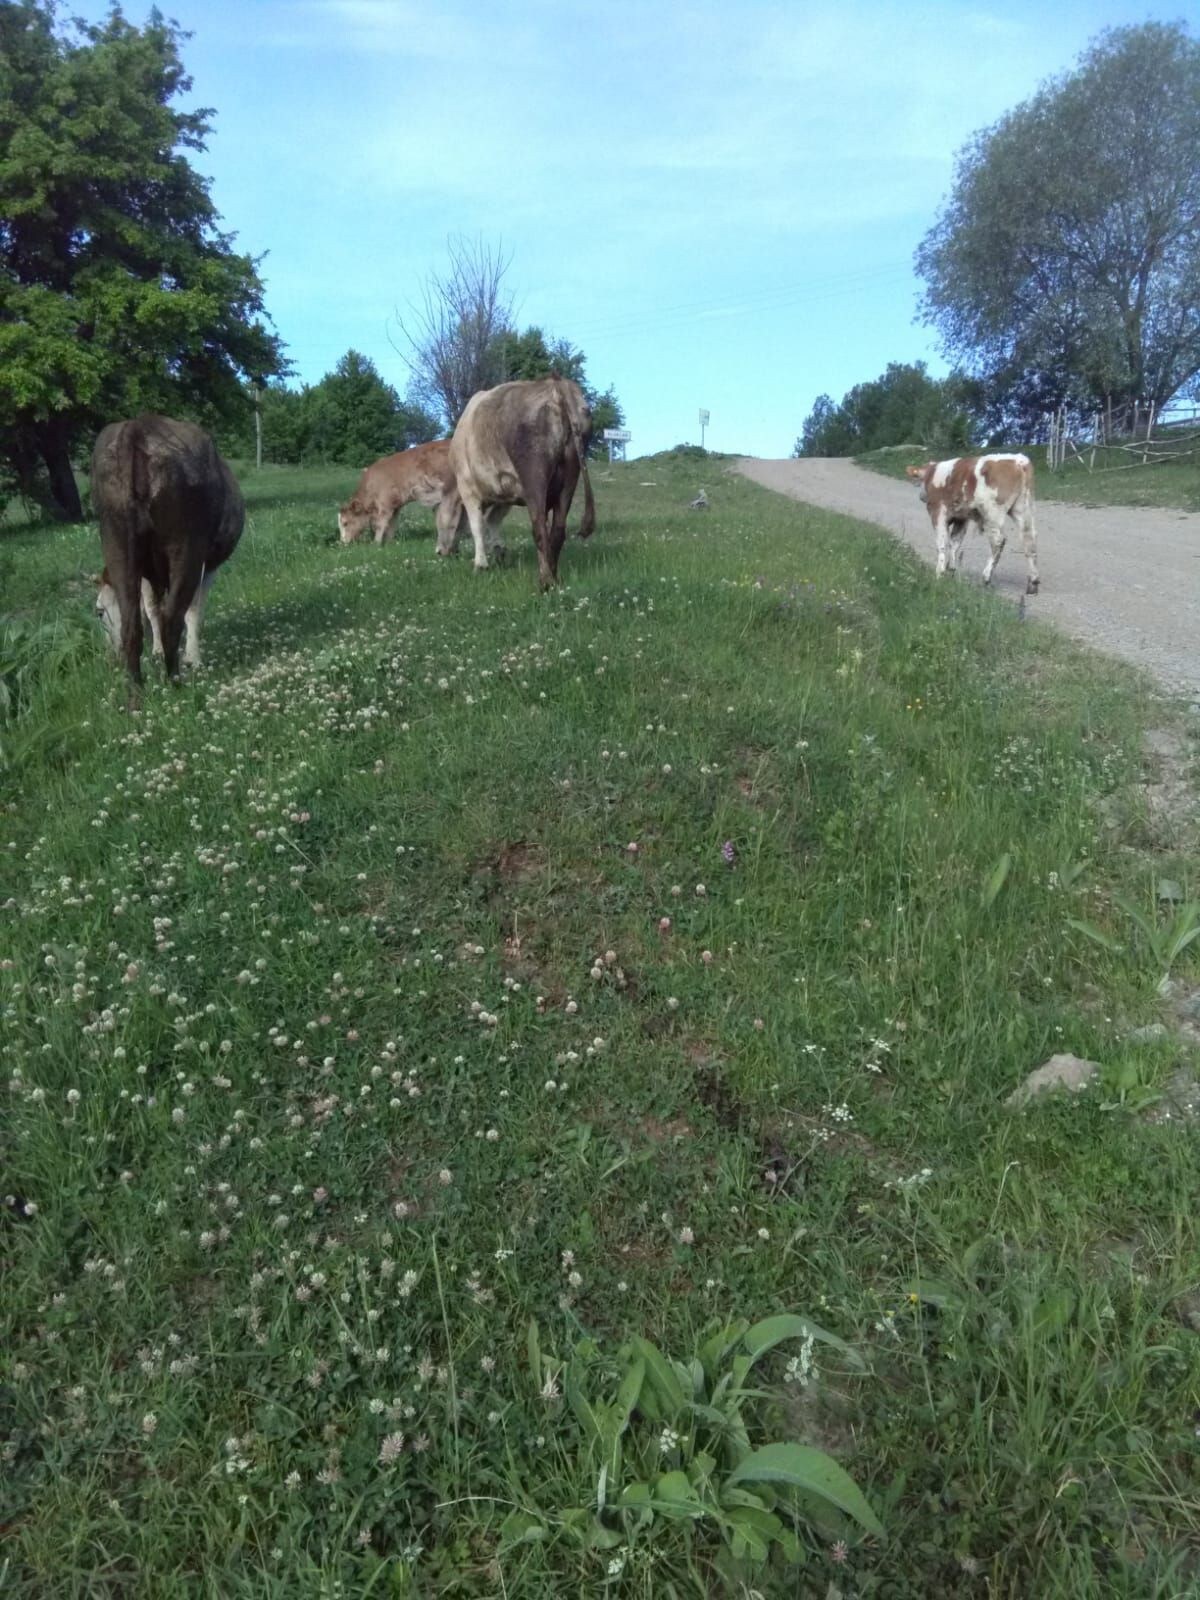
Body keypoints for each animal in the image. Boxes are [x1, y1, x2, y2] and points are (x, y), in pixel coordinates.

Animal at [94, 412, 246, 681]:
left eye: (99, 611)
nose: (112, 658)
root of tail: (138, 425)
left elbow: (165, 609)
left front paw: (173, 654)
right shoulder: (202, 565)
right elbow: (182, 609)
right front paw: (187, 656)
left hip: (120, 541)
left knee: (139, 623)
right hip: (185, 551)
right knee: (171, 615)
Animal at [444, 374, 595, 588]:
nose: (440, 551)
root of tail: (555, 384)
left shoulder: (468, 488)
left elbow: (477, 525)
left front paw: (481, 564)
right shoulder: (504, 492)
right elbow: (492, 520)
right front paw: (499, 553)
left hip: (534, 475)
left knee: (539, 528)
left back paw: (545, 581)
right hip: (569, 477)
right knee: (557, 531)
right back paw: (553, 575)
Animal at [908, 454, 1036, 592]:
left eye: (919, 480)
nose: (921, 496)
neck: (933, 474)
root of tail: (1019, 461)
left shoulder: (938, 513)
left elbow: (942, 542)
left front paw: (939, 573)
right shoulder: (961, 518)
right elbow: (955, 543)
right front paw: (951, 570)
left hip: (993, 513)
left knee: (998, 541)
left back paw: (986, 577)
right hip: (1022, 508)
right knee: (1029, 538)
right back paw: (1033, 582)